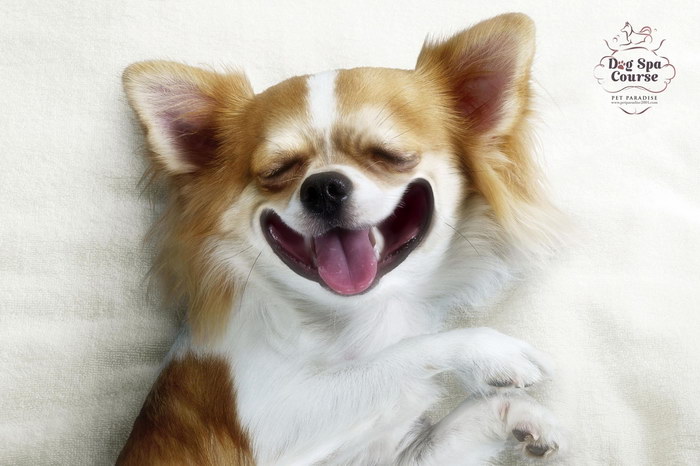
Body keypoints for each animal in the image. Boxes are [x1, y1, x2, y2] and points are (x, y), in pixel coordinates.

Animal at [117, 13, 564, 465]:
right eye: (278, 169)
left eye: (389, 155)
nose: (323, 187)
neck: (357, 317)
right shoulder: (275, 421)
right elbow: (400, 355)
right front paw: (491, 353)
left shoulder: (391, 455)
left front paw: (520, 416)